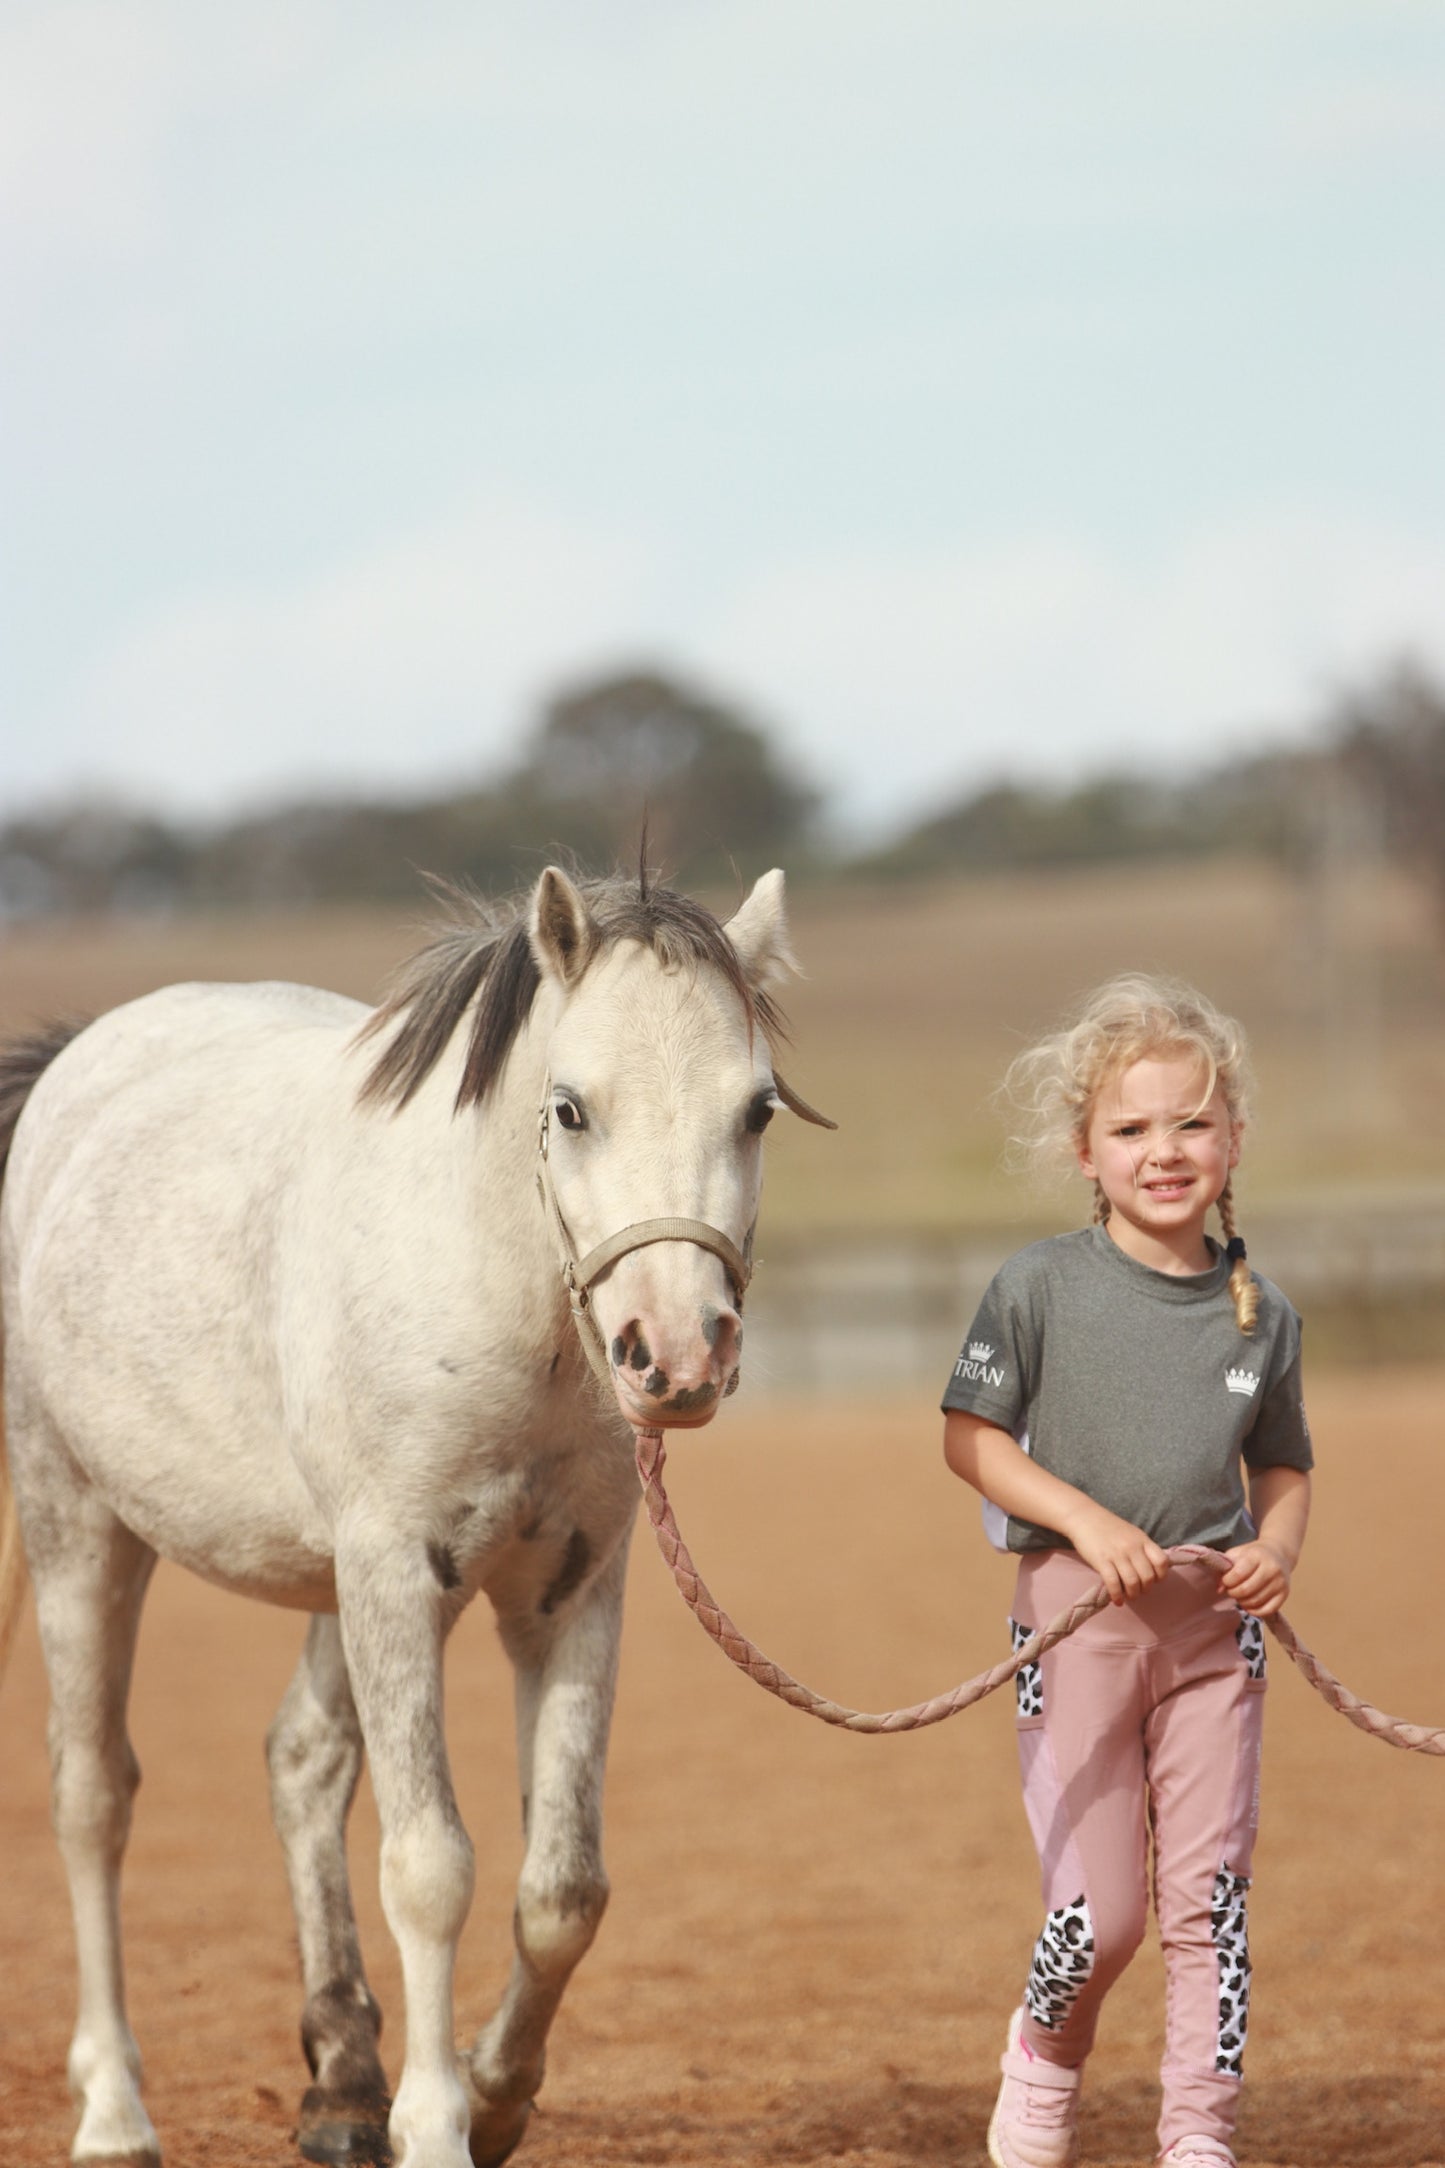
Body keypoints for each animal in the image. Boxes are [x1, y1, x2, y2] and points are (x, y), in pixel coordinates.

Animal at [0, 862, 823, 2168]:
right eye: (570, 1107)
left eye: (756, 1110)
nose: (676, 1353)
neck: (498, 1289)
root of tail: (79, 1064)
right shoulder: (395, 1573)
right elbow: (431, 1867)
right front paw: (438, 2122)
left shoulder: (567, 1590)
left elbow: (563, 1889)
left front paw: (494, 2094)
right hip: (79, 1518)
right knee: (91, 1795)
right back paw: (114, 2110)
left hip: (334, 1579)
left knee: (300, 1761)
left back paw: (340, 2084)